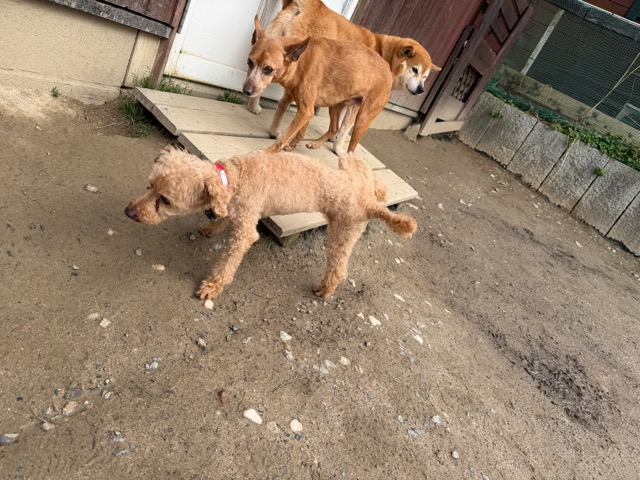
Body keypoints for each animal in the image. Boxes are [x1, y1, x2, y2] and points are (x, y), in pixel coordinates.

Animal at [125, 145, 417, 300]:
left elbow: (228, 262)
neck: (232, 179)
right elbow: (220, 219)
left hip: (343, 231)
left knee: (338, 268)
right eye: (149, 185)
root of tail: (368, 202)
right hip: (351, 166)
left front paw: (212, 287)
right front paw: (208, 229)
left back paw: (324, 290)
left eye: (165, 200)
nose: (128, 212)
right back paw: (381, 190)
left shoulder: (245, 229)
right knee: (367, 173)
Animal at [242, 16, 397, 154]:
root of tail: (389, 71)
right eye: (249, 62)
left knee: (350, 148)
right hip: (335, 106)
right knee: (334, 128)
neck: (300, 61)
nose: (246, 91)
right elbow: (300, 132)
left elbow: (284, 138)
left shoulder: (305, 111)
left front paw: (267, 152)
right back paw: (316, 144)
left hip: (361, 120)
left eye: (268, 69)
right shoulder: (306, 109)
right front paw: (293, 145)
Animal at [246, 0, 441, 116]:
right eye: (415, 70)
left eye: (425, 76)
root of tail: (313, 4)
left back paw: (254, 107)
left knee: (261, 83)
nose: (421, 89)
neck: (385, 52)